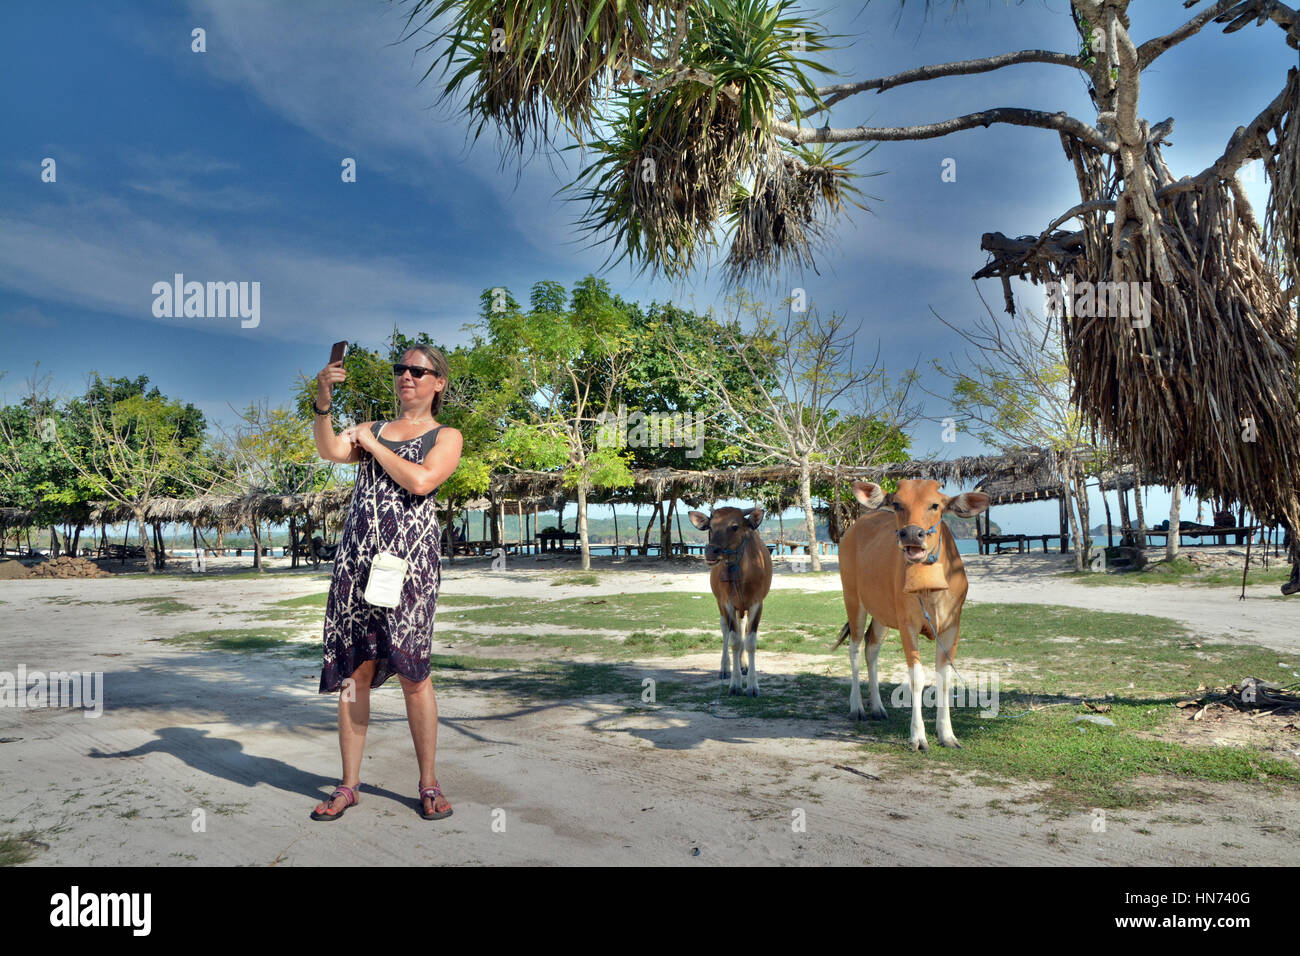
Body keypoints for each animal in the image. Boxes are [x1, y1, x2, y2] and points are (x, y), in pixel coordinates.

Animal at [691, 509, 769, 697]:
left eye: (735, 526)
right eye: (711, 526)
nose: (711, 551)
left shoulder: (757, 603)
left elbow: (750, 641)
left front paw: (752, 686)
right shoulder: (727, 603)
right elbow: (734, 641)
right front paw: (735, 685)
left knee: (742, 629)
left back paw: (743, 665)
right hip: (721, 603)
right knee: (726, 631)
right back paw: (725, 669)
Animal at [837, 481, 987, 749]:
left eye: (935, 505)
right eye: (897, 504)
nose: (912, 534)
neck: (931, 591)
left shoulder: (952, 627)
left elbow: (945, 678)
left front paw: (947, 734)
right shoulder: (908, 626)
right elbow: (917, 678)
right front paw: (918, 737)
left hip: (882, 613)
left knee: (871, 648)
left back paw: (878, 708)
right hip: (853, 599)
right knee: (854, 647)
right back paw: (857, 708)